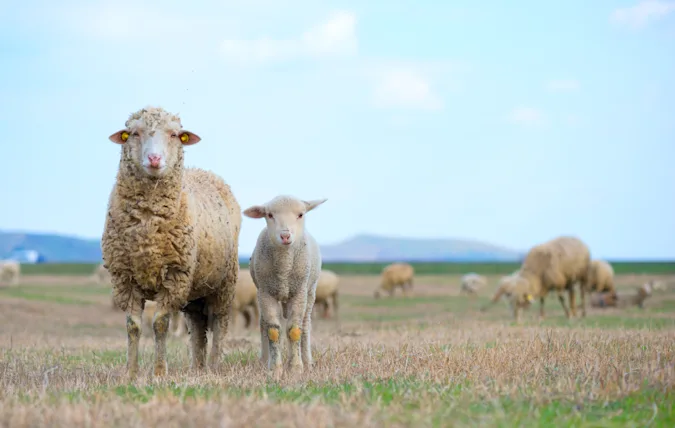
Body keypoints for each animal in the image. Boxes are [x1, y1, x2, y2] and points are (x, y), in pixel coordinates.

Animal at [101, 106, 241, 378]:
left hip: (224, 282)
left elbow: (160, 324)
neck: (148, 222)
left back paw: (215, 365)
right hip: (195, 286)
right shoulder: (125, 278)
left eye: (175, 134)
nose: (154, 159)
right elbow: (133, 326)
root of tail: (206, 172)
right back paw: (197, 367)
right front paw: (131, 373)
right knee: (197, 326)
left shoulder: (174, 277)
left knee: (219, 323)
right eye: (134, 133)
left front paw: (159, 372)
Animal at [243, 195, 327, 380]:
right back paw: (264, 361)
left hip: (310, 291)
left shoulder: (299, 293)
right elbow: (273, 331)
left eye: (301, 214)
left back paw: (307, 362)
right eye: (269, 215)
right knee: (263, 324)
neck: (284, 266)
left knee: (305, 325)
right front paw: (275, 369)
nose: (285, 235)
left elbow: (294, 330)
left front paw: (295, 368)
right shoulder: (266, 292)